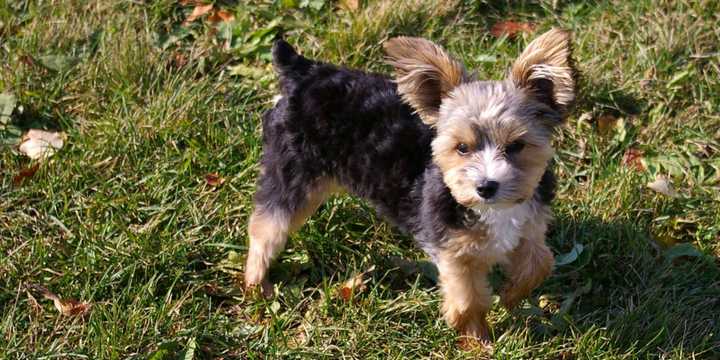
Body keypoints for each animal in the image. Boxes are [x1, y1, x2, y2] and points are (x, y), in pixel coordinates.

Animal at [245, 29, 576, 344]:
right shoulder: (453, 252)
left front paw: (511, 295)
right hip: (293, 175)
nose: (486, 187)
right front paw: (477, 340)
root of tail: (302, 72)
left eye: (516, 146)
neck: (491, 210)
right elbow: (468, 301)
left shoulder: (530, 223)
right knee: (265, 226)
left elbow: (541, 262)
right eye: (462, 148)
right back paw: (257, 285)